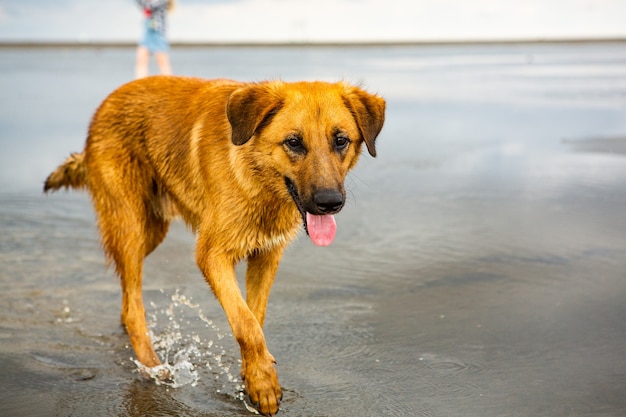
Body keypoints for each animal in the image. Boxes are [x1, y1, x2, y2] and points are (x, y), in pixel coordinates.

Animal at [44, 76, 382, 414]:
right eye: (294, 142)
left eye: (341, 141)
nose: (329, 203)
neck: (256, 172)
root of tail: (107, 102)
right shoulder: (212, 255)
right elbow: (246, 324)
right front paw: (263, 383)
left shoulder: (266, 256)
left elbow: (254, 316)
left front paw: (252, 374)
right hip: (130, 229)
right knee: (133, 307)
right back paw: (152, 365)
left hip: (151, 232)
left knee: (129, 298)